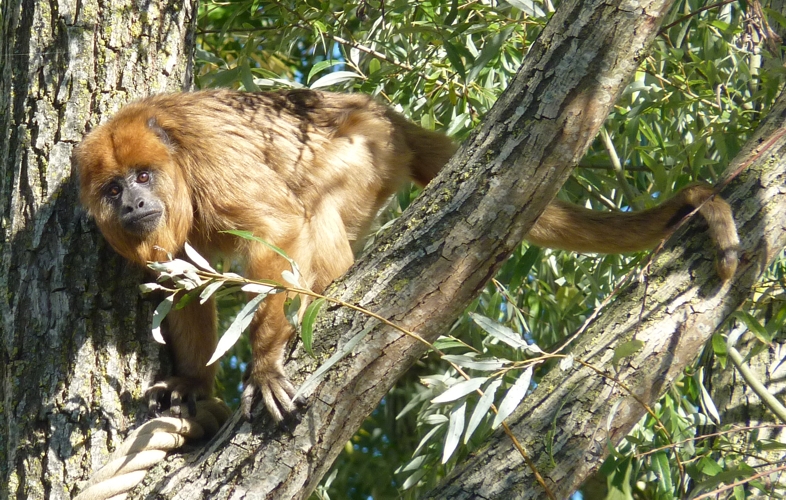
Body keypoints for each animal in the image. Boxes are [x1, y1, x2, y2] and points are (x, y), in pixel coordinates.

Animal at [74, 89, 739, 422]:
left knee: (316, 208)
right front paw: (192, 381)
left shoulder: (210, 159)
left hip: (364, 150)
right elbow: (183, 283)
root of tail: (378, 109)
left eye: (143, 176)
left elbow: (277, 227)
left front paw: (263, 364)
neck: (173, 162)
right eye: (113, 190)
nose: (134, 202)